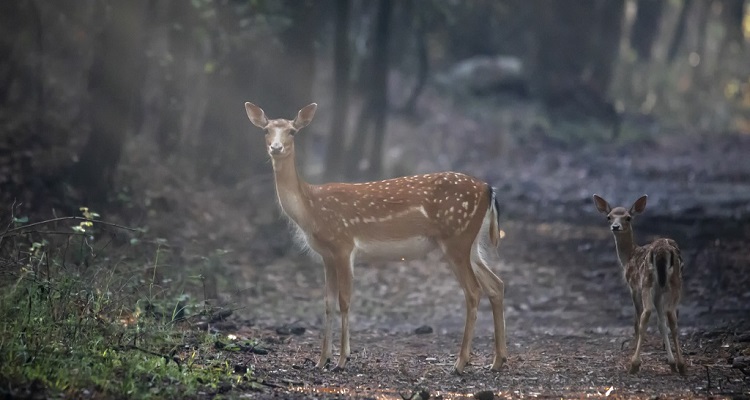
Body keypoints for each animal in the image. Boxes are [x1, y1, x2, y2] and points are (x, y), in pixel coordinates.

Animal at [247, 101, 512, 374]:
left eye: (292, 131)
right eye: (266, 130)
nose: (275, 147)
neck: (311, 209)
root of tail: (488, 189)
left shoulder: (343, 244)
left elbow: (344, 300)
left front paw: (342, 359)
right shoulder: (326, 254)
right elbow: (327, 302)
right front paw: (321, 360)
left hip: (456, 239)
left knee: (474, 291)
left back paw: (460, 363)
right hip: (471, 243)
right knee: (496, 284)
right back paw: (497, 361)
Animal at [596, 195, 692, 376]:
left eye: (628, 217)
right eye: (609, 217)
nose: (615, 226)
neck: (629, 257)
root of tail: (662, 251)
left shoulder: (634, 286)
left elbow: (637, 319)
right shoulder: (659, 291)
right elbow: (661, 324)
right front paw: (671, 362)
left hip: (647, 282)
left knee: (646, 314)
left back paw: (634, 364)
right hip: (674, 282)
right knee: (672, 316)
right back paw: (681, 365)